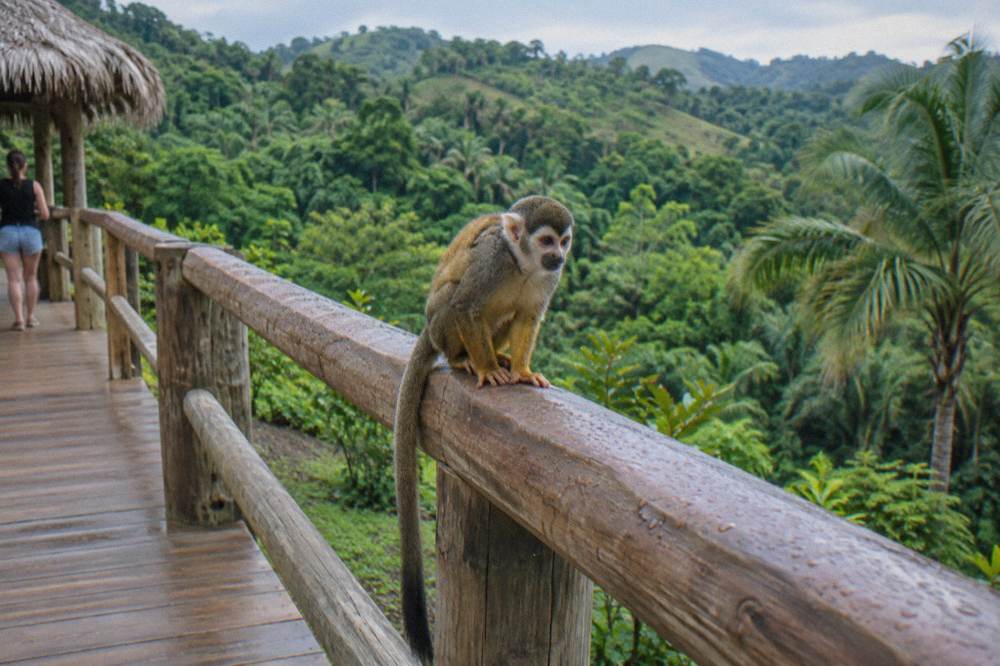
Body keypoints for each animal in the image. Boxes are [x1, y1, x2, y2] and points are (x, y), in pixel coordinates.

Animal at [392, 195, 573, 662]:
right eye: (545, 240)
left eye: (564, 241)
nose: (559, 257)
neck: (523, 263)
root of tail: (427, 331)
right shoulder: (493, 261)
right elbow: (468, 306)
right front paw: (490, 370)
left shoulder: (548, 280)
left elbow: (528, 314)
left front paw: (522, 371)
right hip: (439, 324)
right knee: (454, 301)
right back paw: (466, 361)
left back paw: (504, 360)